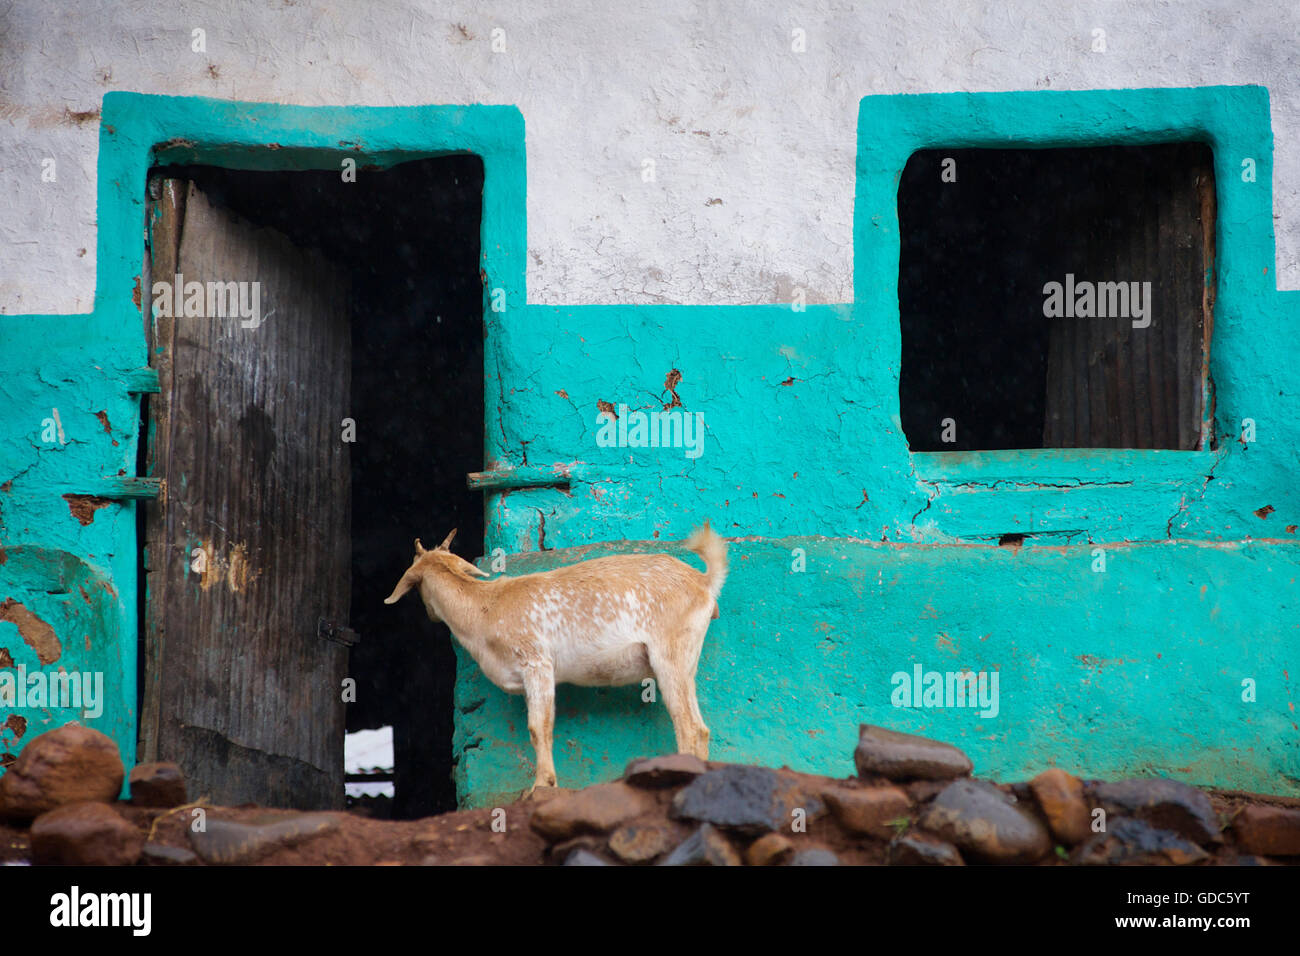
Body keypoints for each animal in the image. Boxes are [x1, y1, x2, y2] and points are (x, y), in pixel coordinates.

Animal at [384, 528, 733, 790]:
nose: (431, 615)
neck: (485, 607)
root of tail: (704, 581)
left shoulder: (536, 663)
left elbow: (538, 727)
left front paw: (541, 786)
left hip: (669, 653)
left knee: (687, 724)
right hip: (686, 659)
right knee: (701, 727)